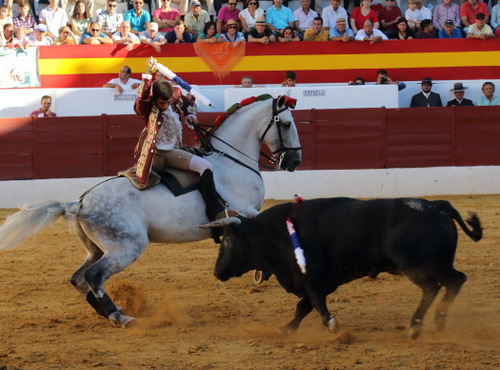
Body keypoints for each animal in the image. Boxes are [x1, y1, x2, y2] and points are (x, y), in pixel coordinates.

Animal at [204, 198, 484, 340]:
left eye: (227, 241)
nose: (217, 272)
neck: (272, 232)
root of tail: (437, 206)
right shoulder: (324, 280)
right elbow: (304, 306)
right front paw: (286, 329)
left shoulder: (312, 276)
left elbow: (314, 303)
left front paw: (333, 325)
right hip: (440, 264)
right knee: (456, 281)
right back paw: (439, 320)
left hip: (416, 266)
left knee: (431, 287)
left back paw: (416, 326)